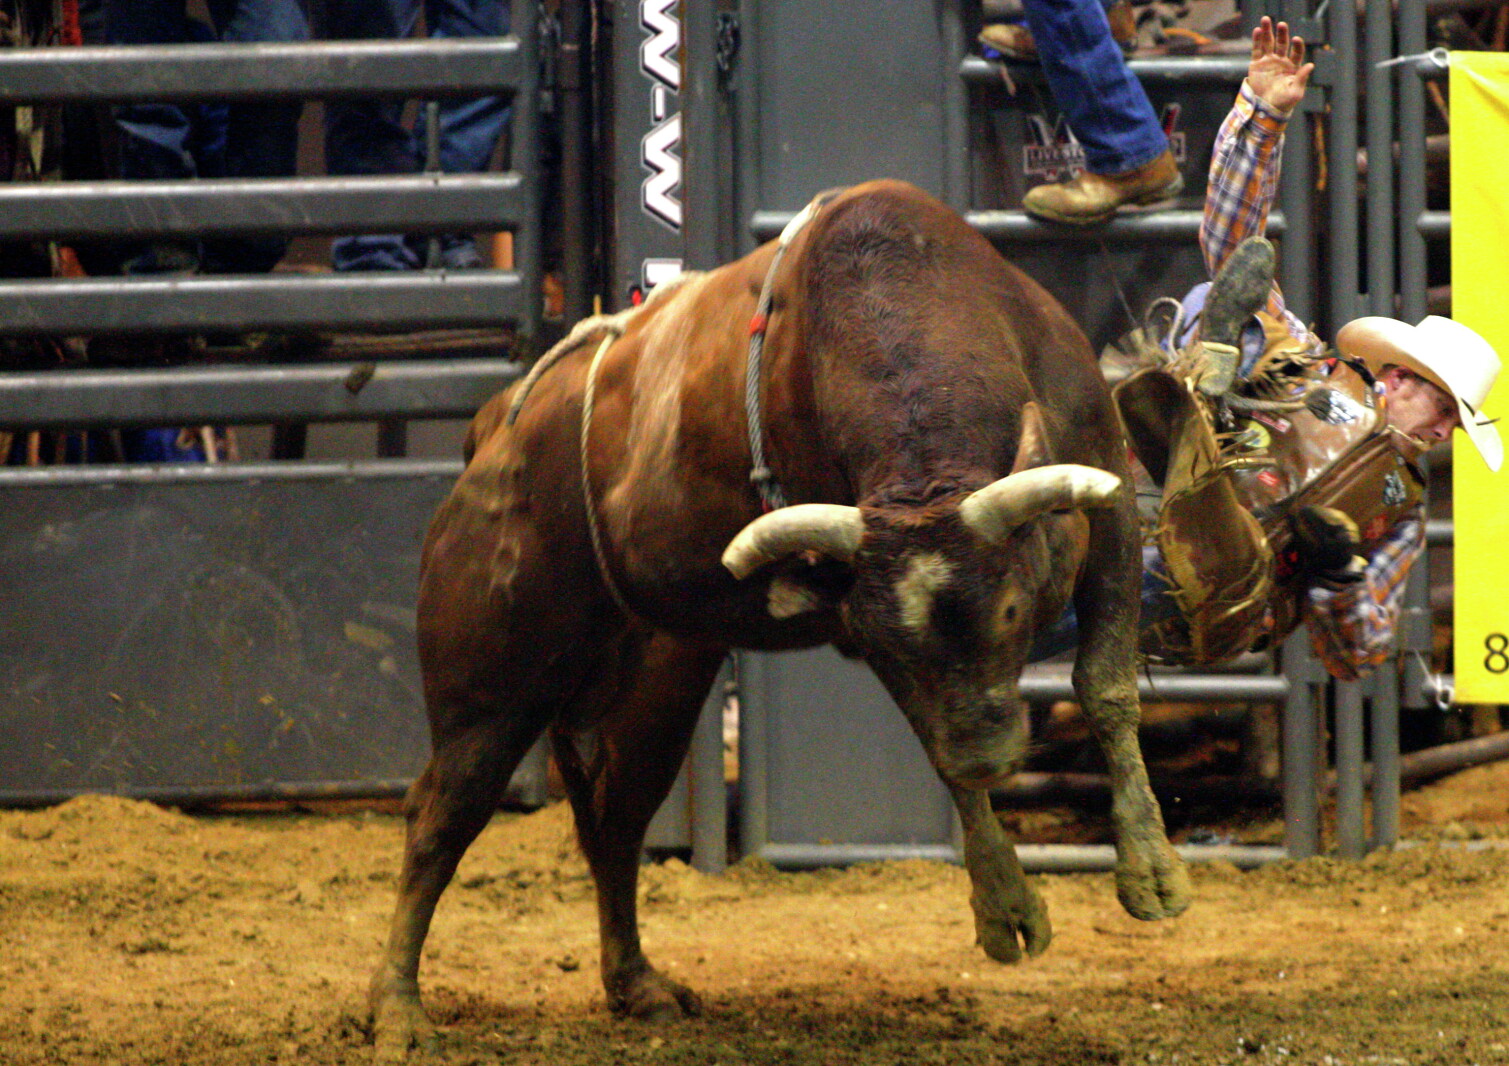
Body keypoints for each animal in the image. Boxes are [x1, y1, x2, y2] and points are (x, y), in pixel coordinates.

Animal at [367, 179, 1191, 1059]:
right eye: (897, 646)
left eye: (1008, 608)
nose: (987, 756)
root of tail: (494, 431)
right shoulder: (866, 610)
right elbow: (941, 740)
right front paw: (1007, 905)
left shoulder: (1105, 503)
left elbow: (1102, 686)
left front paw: (1149, 869)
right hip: (492, 672)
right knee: (442, 813)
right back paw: (397, 1008)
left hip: (655, 676)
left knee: (614, 820)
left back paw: (636, 983)